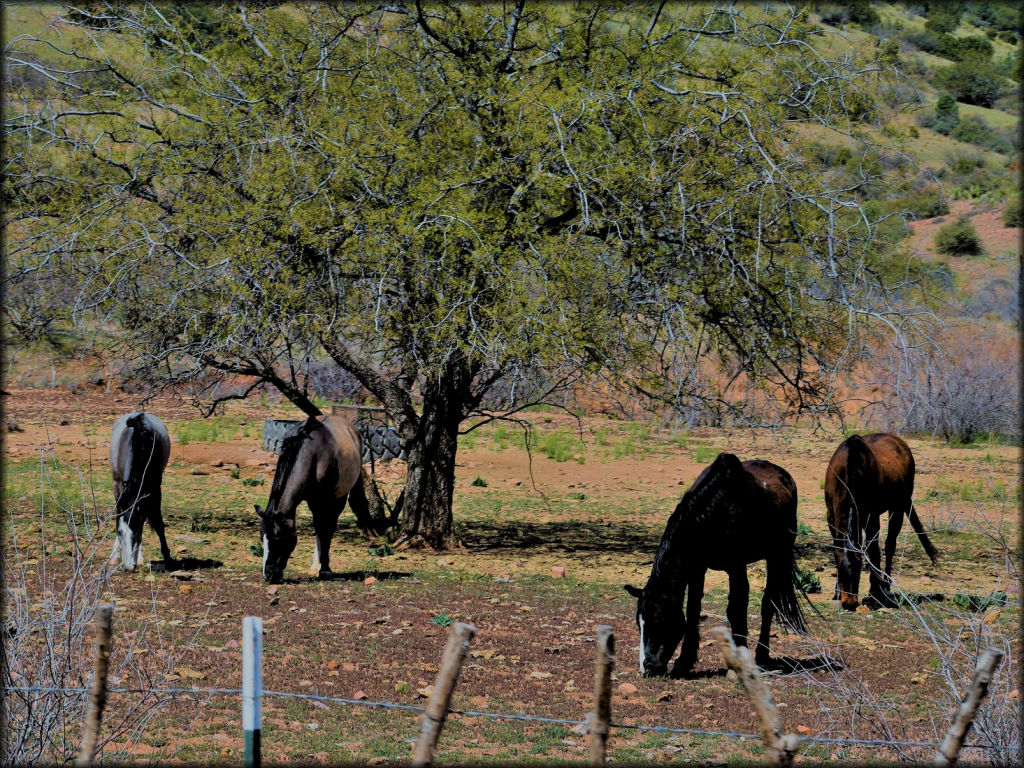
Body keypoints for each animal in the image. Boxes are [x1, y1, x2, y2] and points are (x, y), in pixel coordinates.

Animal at [109, 415, 173, 573]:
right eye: (119, 532)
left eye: (136, 531)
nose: (128, 567)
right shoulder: (120, 487)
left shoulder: (155, 489)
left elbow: (158, 524)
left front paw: (168, 558)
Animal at [254, 417, 385, 585]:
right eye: (262, 537)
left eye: (278, 537)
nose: (268, 574)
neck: (313, 454)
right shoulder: (313, 502)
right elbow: (319, 529)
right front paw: (319, 566)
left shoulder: (326, 501)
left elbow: (325, 531)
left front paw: (325, 569)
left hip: (340, 497)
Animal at [618, 454, 811, 675]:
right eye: (639, 623)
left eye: (658, 620)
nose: (647, 667)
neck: (713, 511)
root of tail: (786, 478)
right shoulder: (697, 567)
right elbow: (693, 609)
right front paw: (684, 661)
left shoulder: (736, 566)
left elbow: (736, 609)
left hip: (777, 555)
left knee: (768, 603)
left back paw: (762, 656)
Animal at [827, 434, 937, 614]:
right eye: (842, 570)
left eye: (859, 569)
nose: (849, 603)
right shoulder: (831, 515)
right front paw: (836, 592)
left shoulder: (871, 517)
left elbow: (873, 551)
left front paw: (874, 591)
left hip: (897, 508)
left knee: (890, 544)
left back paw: (885, 586)